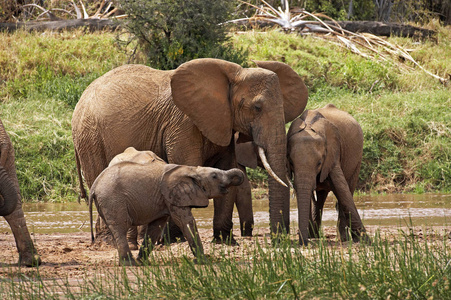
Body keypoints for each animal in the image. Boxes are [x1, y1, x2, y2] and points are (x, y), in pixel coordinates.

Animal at [72, 57, 308, 243]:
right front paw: (173, 238)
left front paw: (224, 240)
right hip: (90, 136)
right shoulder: (182, 123)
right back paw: (109, 241)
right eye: (257, 108)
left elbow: (228, 169)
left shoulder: (223, 122)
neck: (232, 75)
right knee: (97, 177)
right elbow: (187, 165)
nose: (279, 239)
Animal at [88, 147, 244, 264]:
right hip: (112, 199)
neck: (192, 170)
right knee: (120, 226)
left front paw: (144, 262)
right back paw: (129, 264)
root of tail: (95, 185)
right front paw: (203, 262)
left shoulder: (164, 198)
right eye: (214, 176)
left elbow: (156, 227)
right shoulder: (172, 196)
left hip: (106, 201)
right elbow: (186, 221)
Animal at [288, 104, 370, 245]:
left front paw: (366, 240)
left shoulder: (333, 152)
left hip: (357, 158)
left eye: (319, 163)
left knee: (347, 189)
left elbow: (342, 189)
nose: (303, 242)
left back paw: (344, 239)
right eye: (291, 163)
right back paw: (316, 235)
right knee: (319, 199)